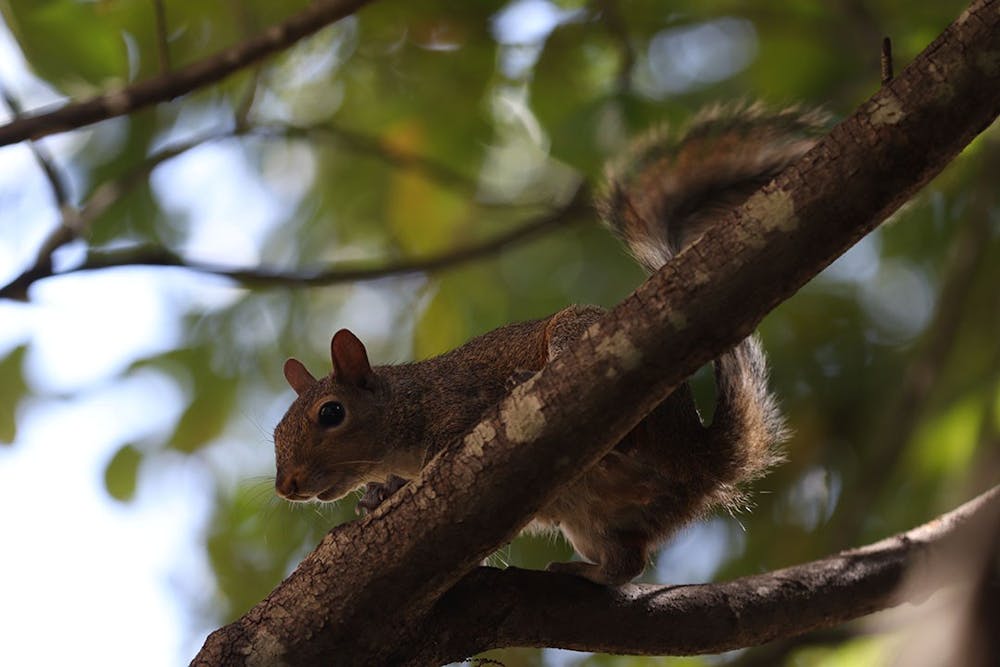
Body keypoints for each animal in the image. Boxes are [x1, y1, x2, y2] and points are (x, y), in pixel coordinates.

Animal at [274, 103, 820, 584]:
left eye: (331, 413)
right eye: (278, 431)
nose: (286, 486)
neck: (407, 405)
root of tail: (695, 454)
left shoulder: (455, 403)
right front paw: (378, 494)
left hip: (589, 346)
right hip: (595, 521)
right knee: (626, 565)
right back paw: (584, 571)